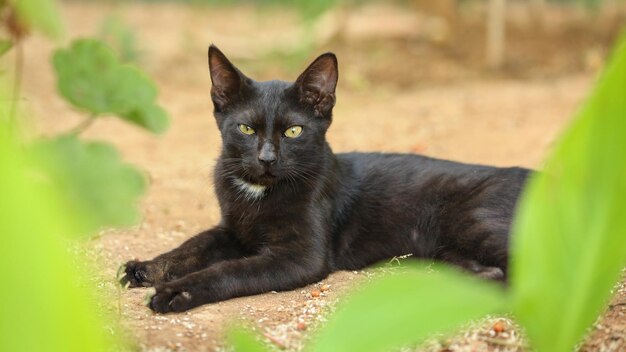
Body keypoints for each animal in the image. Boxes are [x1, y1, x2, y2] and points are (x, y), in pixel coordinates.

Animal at [119, 45, 528, 312]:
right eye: (246, 128)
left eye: (294, 131)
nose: (267, 158)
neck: (259, 193)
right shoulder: (232, 230)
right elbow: (192, 246)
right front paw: (147, 268)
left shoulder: (302, 256)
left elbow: (230, 269)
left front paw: (177, 292)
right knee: (497, 272)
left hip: (473, 221)